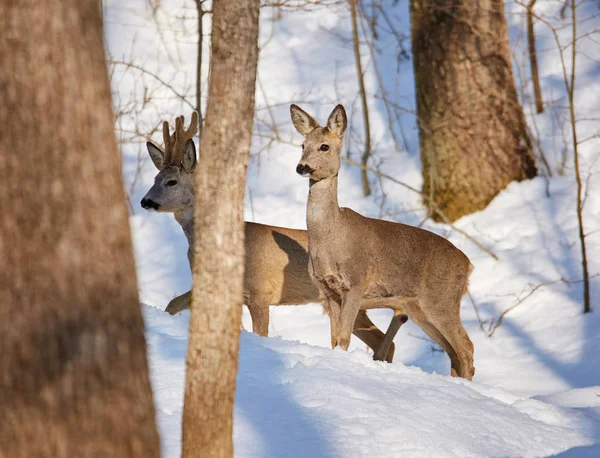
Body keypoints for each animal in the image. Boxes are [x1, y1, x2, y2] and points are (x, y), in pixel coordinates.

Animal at [139, 113, 408, 362]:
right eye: (154, 179)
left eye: (171, 181)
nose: (145, 201)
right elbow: (172, 304)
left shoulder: (259, 292)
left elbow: (260, 334)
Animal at [288, 104, 476, 380]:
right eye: (302, 145)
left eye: (324, 146)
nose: (302, 167)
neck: (331, 238)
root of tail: (468, 264)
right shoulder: (329, 290)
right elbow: (333, 340)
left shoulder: (355, 282)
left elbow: (343, 339)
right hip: (419, 308)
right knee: (453, 351)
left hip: (442, 299)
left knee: (466, 347)